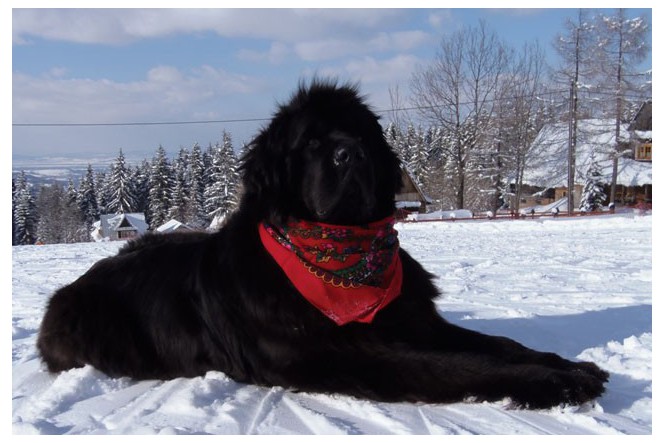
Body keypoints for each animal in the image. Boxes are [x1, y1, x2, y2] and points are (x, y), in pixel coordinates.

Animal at [37, 80, 608, 409]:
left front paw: (566, 366)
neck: (340, 259)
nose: (350, 152)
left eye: (363, 134)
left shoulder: (415, 321)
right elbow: (455, 366)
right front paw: (550, 384)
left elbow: (498, 344)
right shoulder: (341, 352)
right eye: (311, 143)